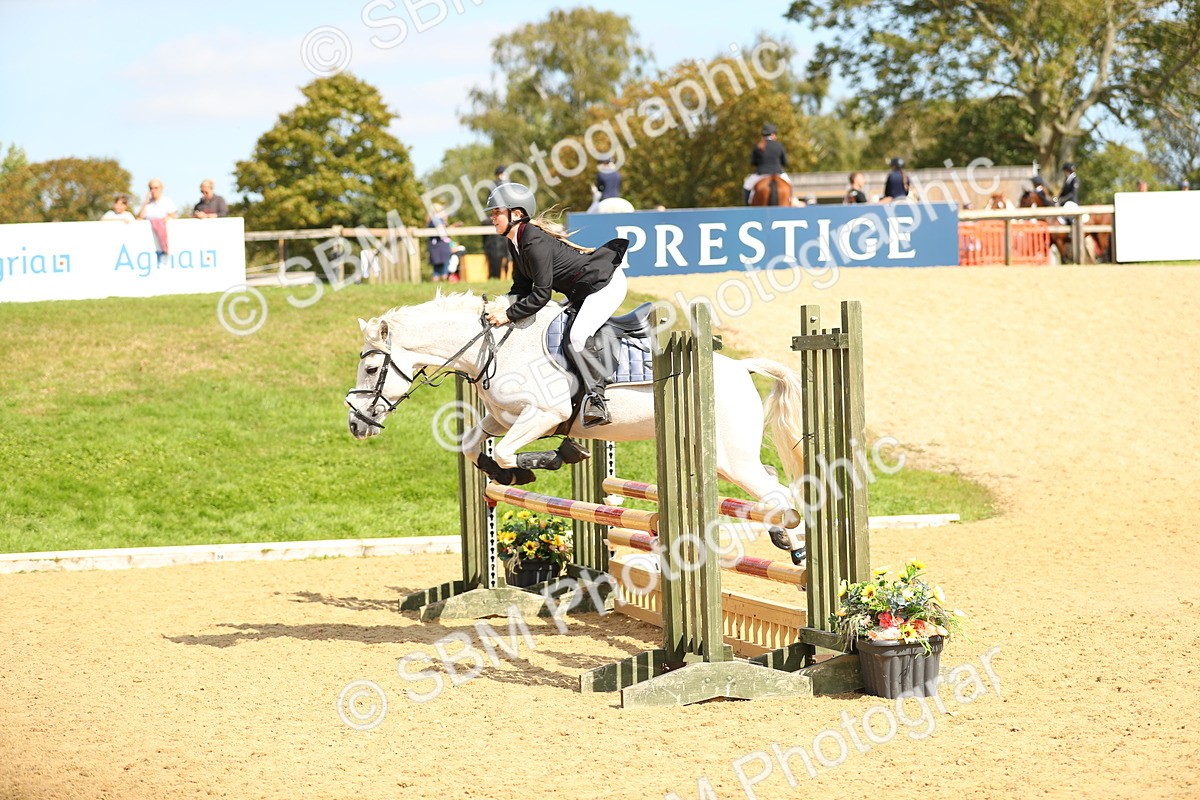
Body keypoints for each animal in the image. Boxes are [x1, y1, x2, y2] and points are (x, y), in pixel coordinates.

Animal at [345, 291, 807, 548]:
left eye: (370, 368)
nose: (355, 424)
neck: (492, 347)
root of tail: (742, 367)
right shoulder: (503, 418)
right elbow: (476, 445)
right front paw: (507, 475)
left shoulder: (544, 416)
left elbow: (512, 452)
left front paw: (547, 461)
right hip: (717, 454)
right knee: (772, 483)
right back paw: (783, 536)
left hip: (730, 456)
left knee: (779, 493)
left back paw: (795, 544)